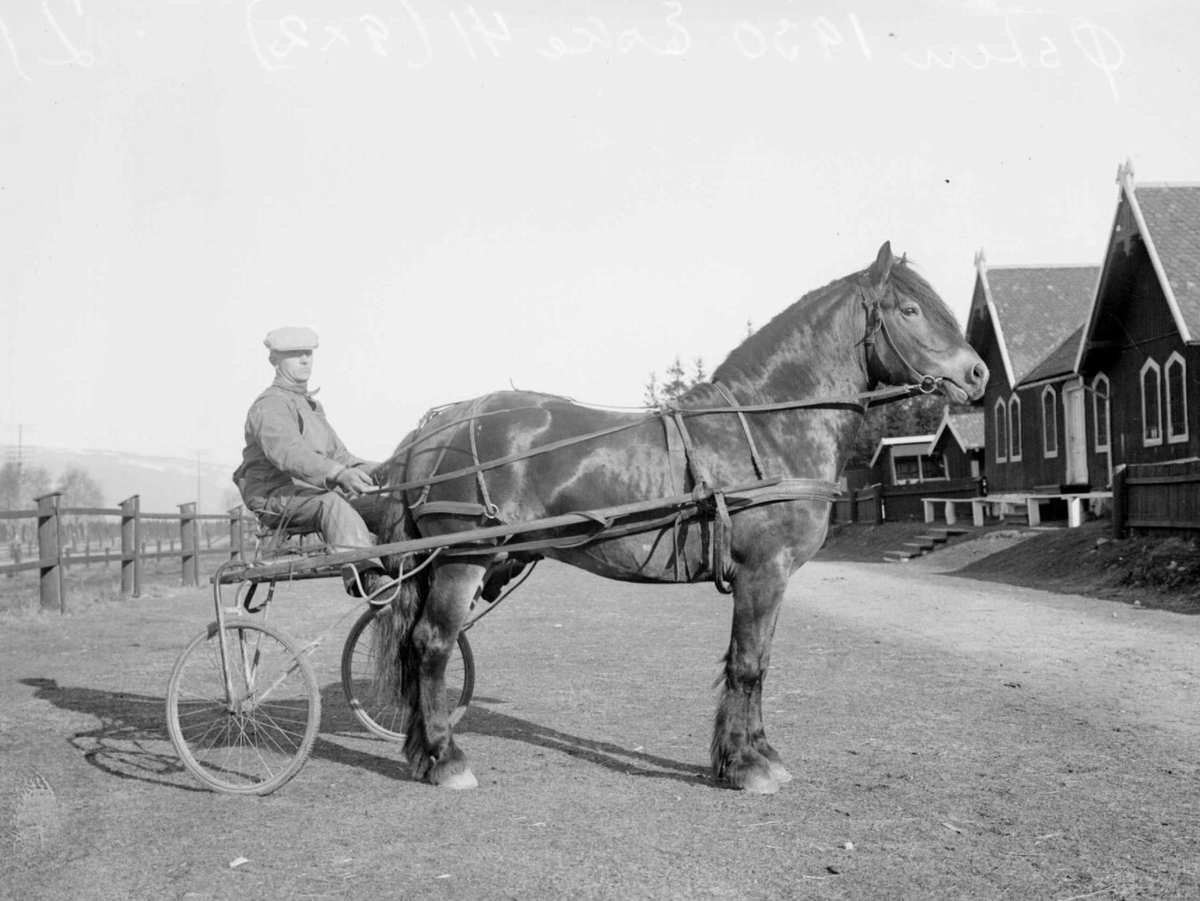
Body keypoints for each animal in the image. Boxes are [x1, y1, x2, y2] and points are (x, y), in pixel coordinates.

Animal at [372, 243, 984, 791]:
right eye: (911, 310)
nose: (977, 373)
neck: (768, 427)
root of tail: (436, 427)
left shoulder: (773, 578)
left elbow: (759, 663)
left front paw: (758, 754)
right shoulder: (763, 572)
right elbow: (746, 664)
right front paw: (745, 766)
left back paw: (423, 752)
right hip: (462, 562)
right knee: (431, 645)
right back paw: (445, 759)